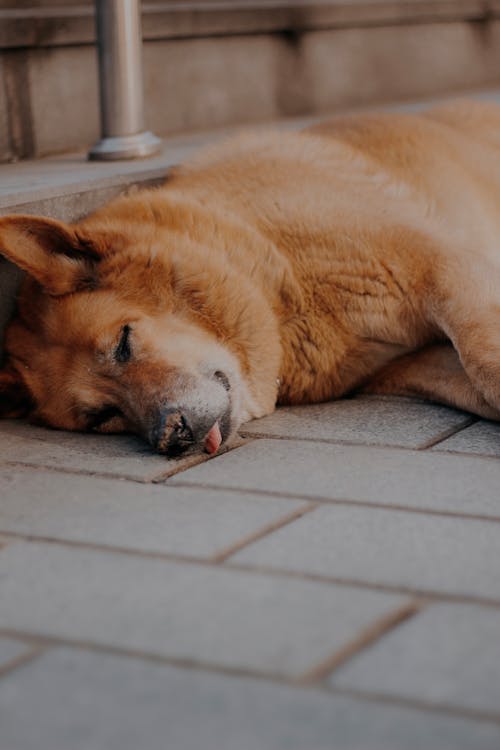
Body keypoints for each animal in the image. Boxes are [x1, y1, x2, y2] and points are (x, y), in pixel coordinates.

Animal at [0, 99, 500, 458]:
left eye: (124, 343)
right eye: (103, 416)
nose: (172, 436)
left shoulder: (447, 268)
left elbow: (483, 362)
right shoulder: (415, 360)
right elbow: (482, 388)